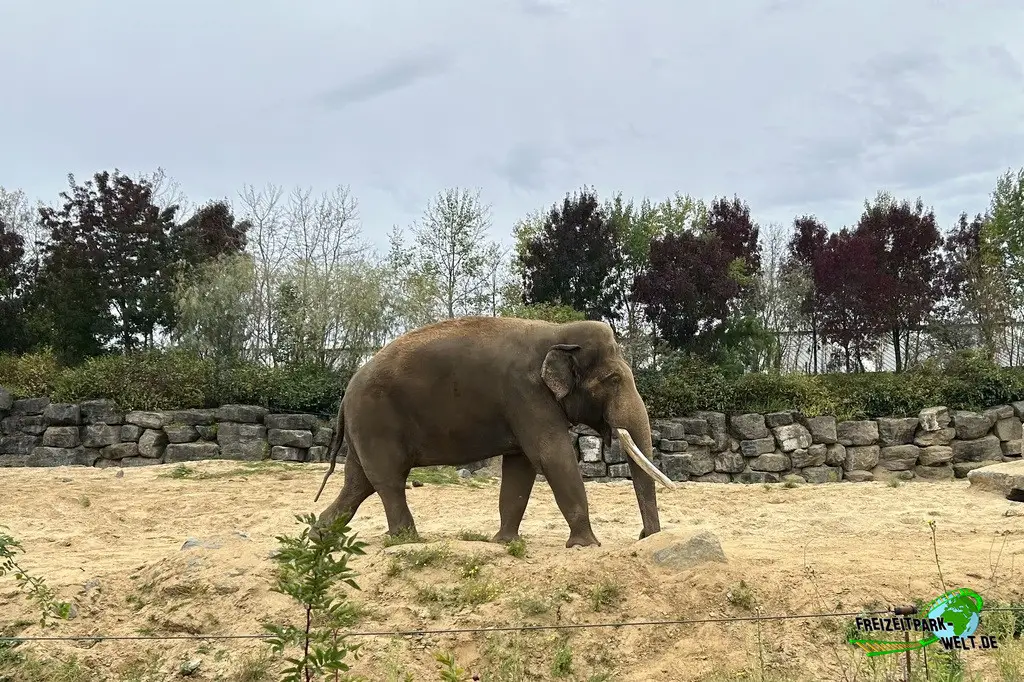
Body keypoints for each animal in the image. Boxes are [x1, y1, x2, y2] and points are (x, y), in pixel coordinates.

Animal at [312, 315, 675, 548]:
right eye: (613, 380)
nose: (645, 537)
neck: (556, 332)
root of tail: (346, 392)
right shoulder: (526, 395)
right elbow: (551, 457)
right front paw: (586, 546)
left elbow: (521, 467)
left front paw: (504, 543)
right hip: (376, 422)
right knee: (387, 480)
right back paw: (407, 541)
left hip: (364, 429)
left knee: (359, 483)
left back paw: (317, 537)